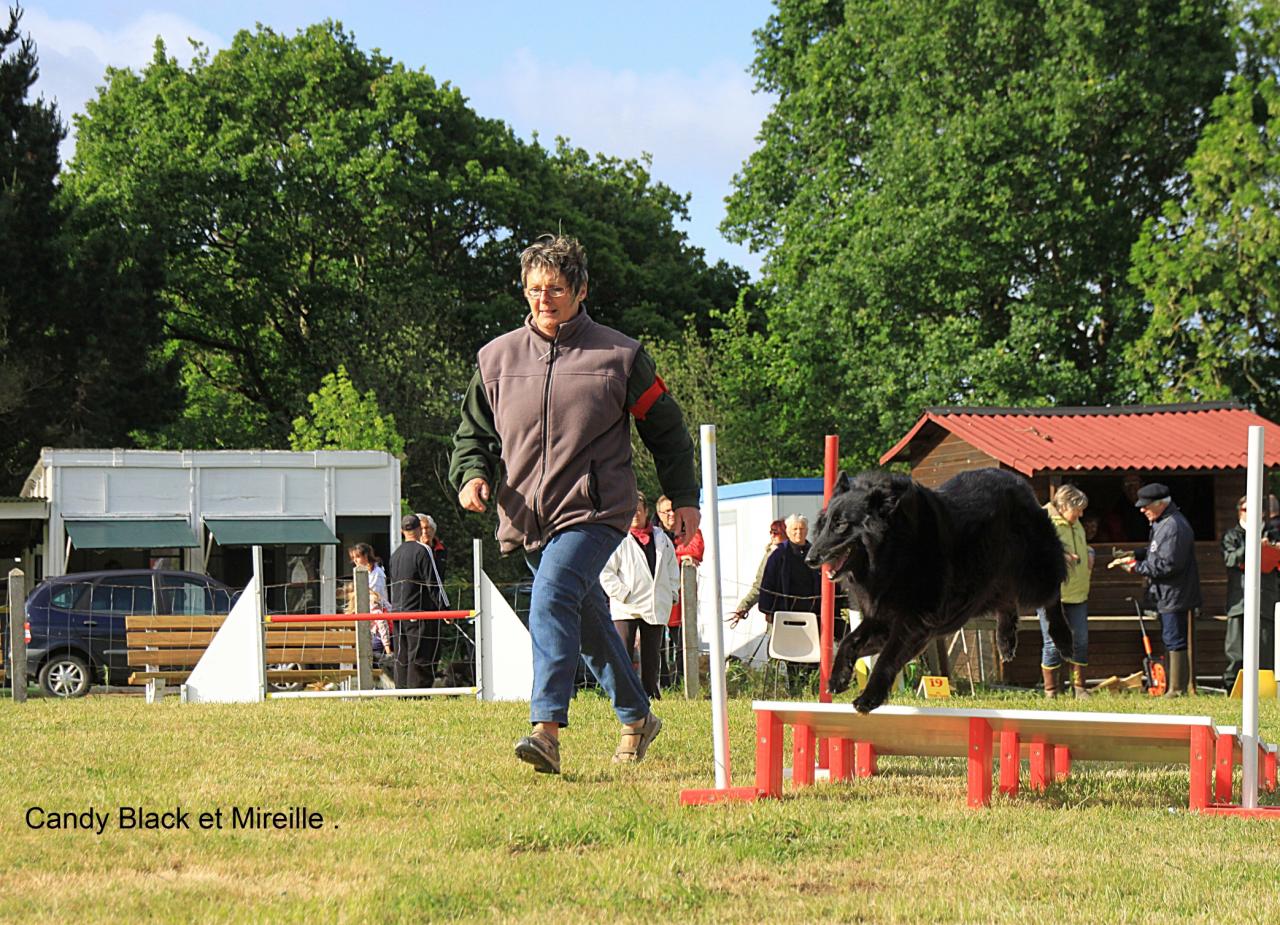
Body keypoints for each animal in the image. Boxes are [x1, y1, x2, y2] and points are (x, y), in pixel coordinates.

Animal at [808, 470, 1070, 716]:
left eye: (841, 525)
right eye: (824, 524)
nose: (809, 559)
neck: (893, 551)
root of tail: (1016, 480)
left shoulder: (913, 623)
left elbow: (886, 658)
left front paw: (869, 698)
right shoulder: (882, 618)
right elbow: (849, 641)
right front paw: (838, 678)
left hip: (1033, 574)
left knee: (1053, 593)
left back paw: (1063, 637)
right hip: (989, 582)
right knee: (1006, 601)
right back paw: (1005, 641)